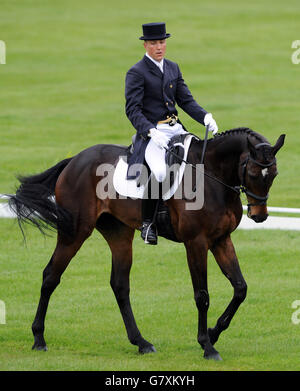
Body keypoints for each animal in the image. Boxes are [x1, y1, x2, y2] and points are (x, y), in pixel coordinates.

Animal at [6, 129, 284, 362]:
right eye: (252, 173)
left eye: (274, 174)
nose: (259, 216)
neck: (212, 177)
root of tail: (75, 160)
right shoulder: (196, 243)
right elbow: (202, 295)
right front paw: (207, 345)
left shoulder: (221, 240)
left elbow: (240, 288)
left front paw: (214, 332)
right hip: (74, 232)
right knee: (51, 276)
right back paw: (39, 339)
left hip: (119, 234)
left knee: (119, 285)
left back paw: (141, 342)